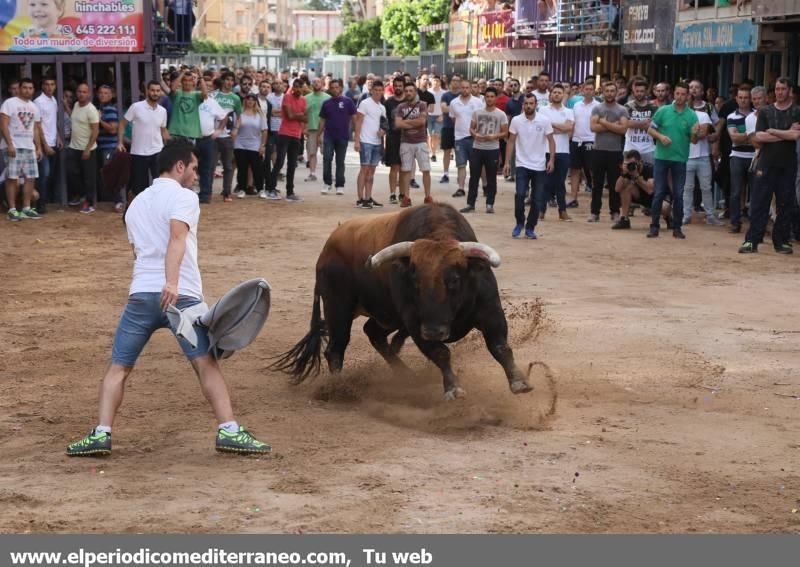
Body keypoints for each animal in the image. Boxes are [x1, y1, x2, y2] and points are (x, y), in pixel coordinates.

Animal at [272, 203, 536, 400]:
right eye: (415, 280)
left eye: (454, 280)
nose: (434, 332)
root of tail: (327, 249)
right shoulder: (414, 323)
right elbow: (441, 353)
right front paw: (453, 388)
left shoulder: (490, 311)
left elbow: (500, 346)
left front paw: (520, 382)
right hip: (338, 307)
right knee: (335, 348)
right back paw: (338, 387)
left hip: (384, 314)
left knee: (373, 333)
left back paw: (407, 375)